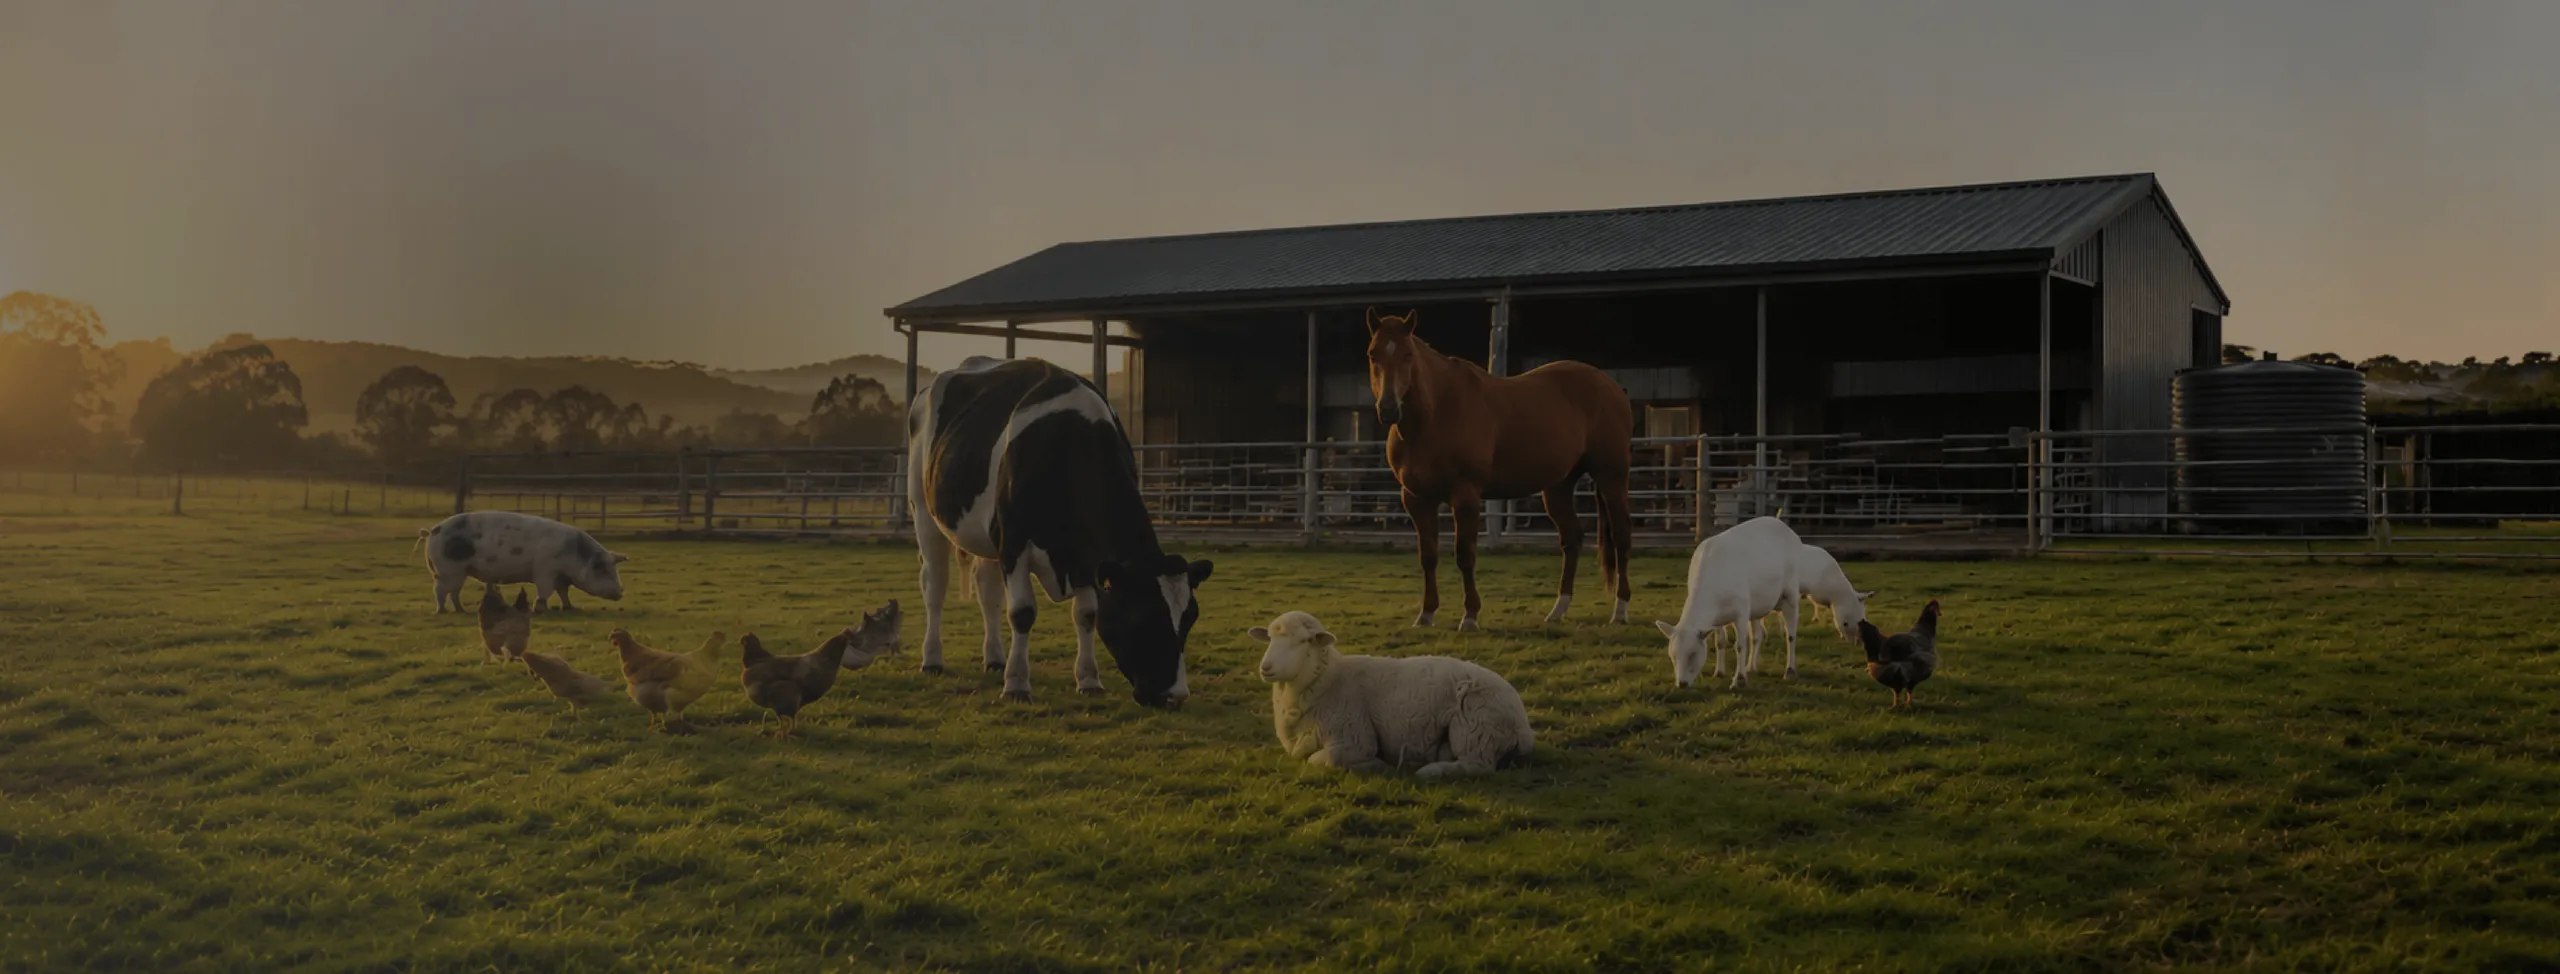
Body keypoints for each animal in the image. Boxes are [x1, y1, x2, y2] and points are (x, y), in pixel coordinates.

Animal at [907, 356, 1214, 708]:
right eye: (1141, 616)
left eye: (1190, 617)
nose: (1174, 695)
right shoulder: (1013, 543)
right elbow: (1022, 612)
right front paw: (1016, 685)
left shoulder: (1083, 557)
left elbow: (1087, 614)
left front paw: (1089, 679)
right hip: (924, 513)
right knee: (935, 586)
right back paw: (932, 659)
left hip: (986, 536)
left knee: (988, 591)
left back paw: (995, 658)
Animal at [1250, 611, 1533, 777]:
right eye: (1270, 639)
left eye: (1304, 641)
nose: (1266, 667)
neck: (1331, 681)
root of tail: (1523, 724)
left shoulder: (1355, 737)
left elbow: (1320, 760)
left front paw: (1375, 764)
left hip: (1475, 728)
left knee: (1480, 766)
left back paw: (1430, 771)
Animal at [1364, 307, 1636, 631]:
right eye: (1373, 354)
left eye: (1407, 355)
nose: (1388, 409)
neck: (1436, 416)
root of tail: (1611, 387)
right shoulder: (1416, 499)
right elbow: (1428, 556)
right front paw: (1426, 614)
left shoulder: (1465, 495)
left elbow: (1465, 555)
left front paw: (1470, 616)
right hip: (1558, 486)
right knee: (1572, 539)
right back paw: (1558, 610)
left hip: (1611, 478)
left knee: (1621, 537)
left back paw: (1620, 611)